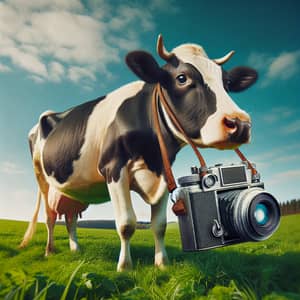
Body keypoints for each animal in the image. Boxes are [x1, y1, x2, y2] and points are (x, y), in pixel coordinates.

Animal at [20, 35, 258, 272]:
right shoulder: (113, 168)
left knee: (70, 218)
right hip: (42, 179)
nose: (240, 123)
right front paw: (124, 267)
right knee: (50, 217)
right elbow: (126, 223)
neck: (152, 155)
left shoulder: (164, 172)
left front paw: (162, 264)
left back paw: (75, 250)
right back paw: (49, 251)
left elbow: (159, 225)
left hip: (73, 190)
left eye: (227, 84)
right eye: (182, 78)